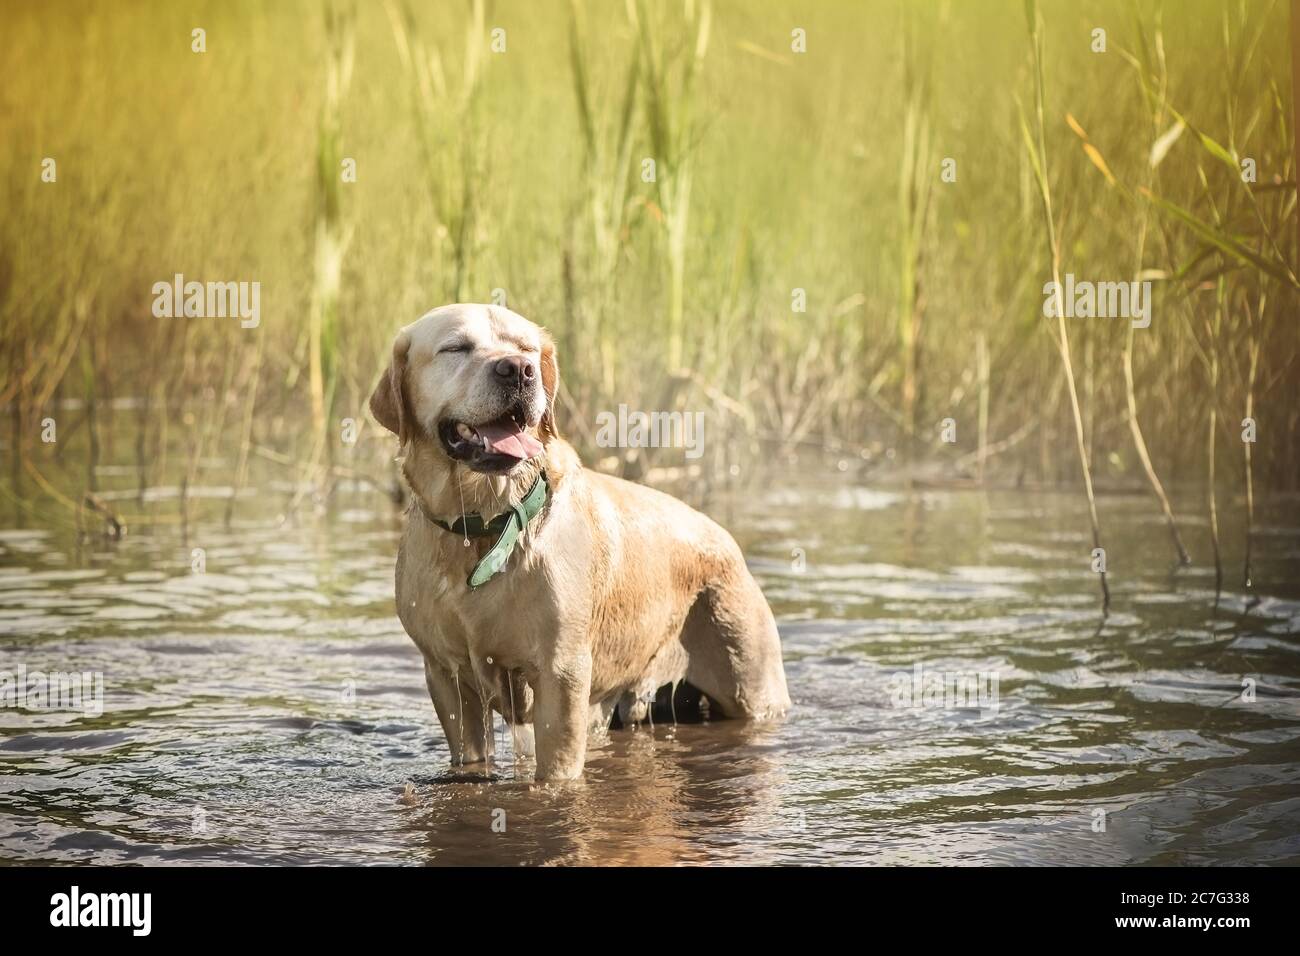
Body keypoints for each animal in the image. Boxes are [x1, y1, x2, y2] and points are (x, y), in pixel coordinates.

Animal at [369, 303, 790, 780]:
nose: (519, 370)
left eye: (526, 348)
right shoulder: (447, 676)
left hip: (751, 683)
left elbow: (557, 769)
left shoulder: (562, 674)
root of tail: (728, 541)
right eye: (456, 347)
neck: (486, 524)